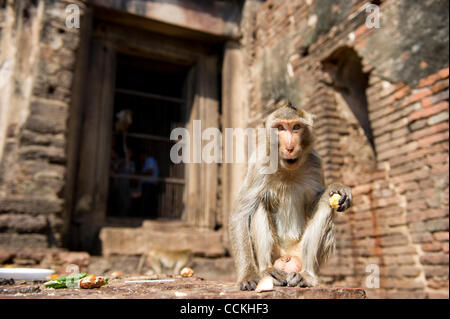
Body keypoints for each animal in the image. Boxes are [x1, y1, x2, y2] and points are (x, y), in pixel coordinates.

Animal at [229, 103, 352, 292]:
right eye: (280, 128)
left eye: (296, 127)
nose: (289, 147)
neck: (288, 169)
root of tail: (286, 255)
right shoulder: (259, 163)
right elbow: (241, 215)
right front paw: (248, 276)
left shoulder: (316, 163)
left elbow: (314, 206)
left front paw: (336, 187)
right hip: (275, 253)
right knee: (258, 204)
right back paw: (266, 271)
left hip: (299, 253)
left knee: (325, 205)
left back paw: (307, 276)